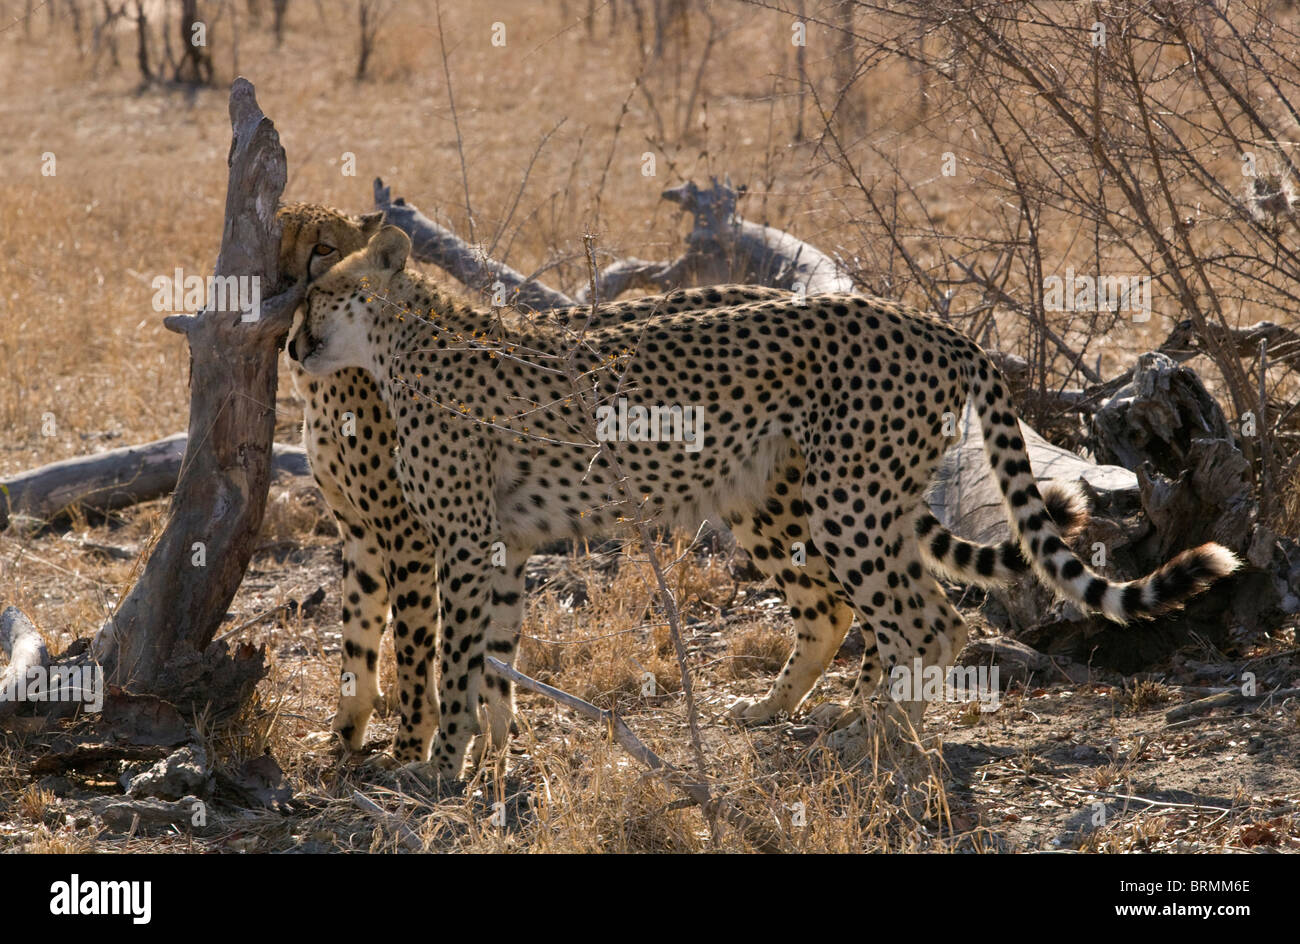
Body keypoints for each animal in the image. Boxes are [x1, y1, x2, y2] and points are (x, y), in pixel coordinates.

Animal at [292, 224, 1237, 780]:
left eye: (318, 296)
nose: (294, 343)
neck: (400, 345)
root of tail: (934, 323)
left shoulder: (453, 541)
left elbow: (451, 661)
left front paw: (436, 767)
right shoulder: (501, 544)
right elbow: (493, 656)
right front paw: (495, 759)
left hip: (846, 502)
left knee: (927, 620)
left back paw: (877, 736)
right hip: (824, 499)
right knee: (860, 613)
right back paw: (793, 711)